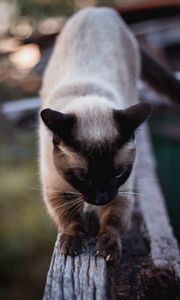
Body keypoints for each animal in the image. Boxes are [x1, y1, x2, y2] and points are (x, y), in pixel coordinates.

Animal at [39, 7, 152, 262]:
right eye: (83, 179)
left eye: (117, 176)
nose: (102, 199)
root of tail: (99, 9)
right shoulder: (55, 187)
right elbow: (69, 220)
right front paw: (73, 242)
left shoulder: (122, 192)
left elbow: (112, 223)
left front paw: (107, 248)